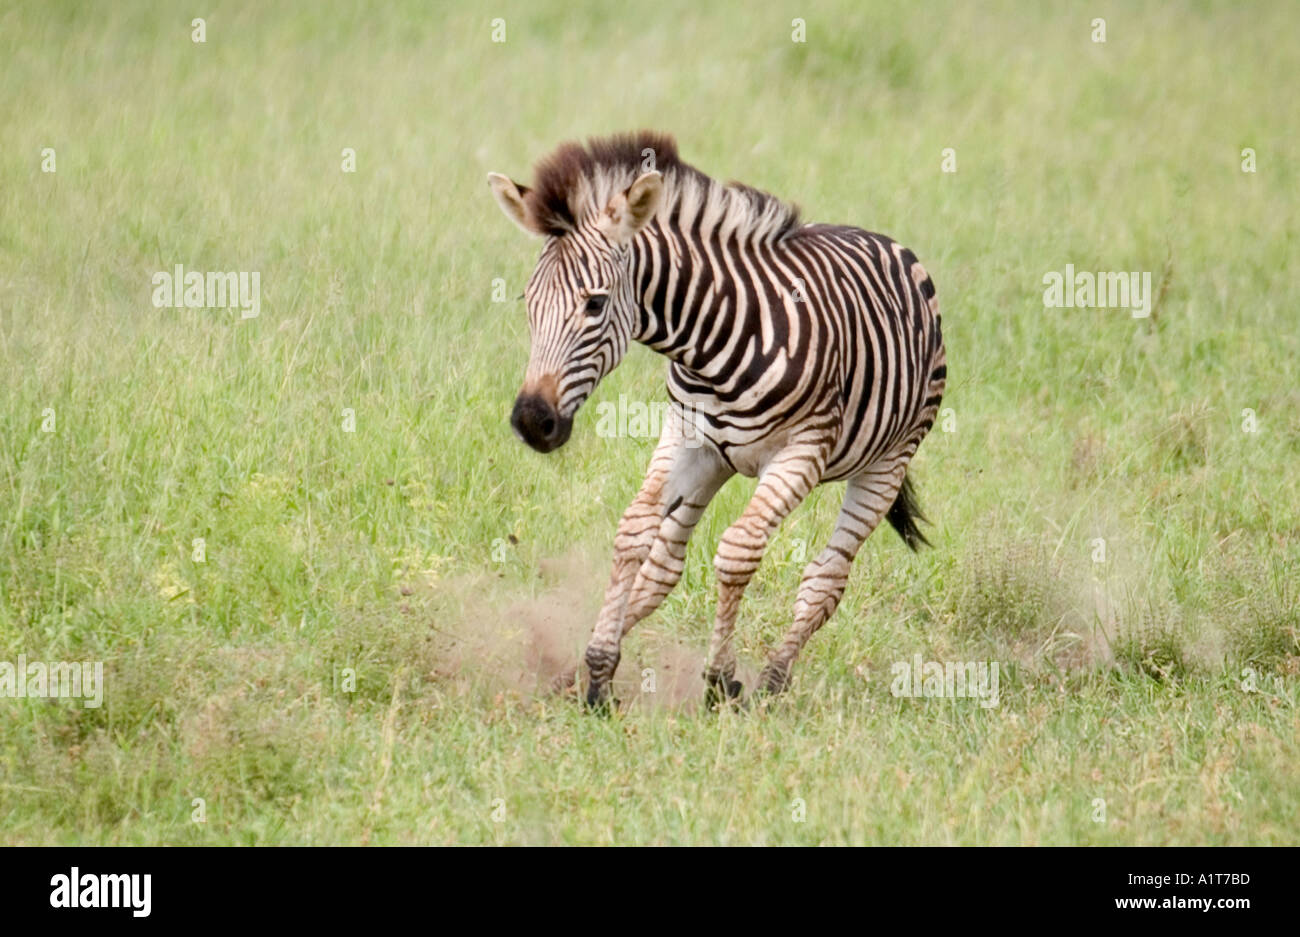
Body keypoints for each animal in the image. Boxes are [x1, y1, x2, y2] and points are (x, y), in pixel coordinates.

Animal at [488, 131, 946, 706]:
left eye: (594, 305)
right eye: (529, 301)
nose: (531, 421)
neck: (711, 344)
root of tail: (882, 240)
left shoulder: (803, 451)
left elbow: (737, 553)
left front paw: (721, 680)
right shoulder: (686, 437)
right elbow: (634, 535)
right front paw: (597, 673)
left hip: (887, 461)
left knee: (827, 578)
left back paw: (772, 681)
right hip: (716, 463)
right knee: (664, 565)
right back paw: (575, 673)